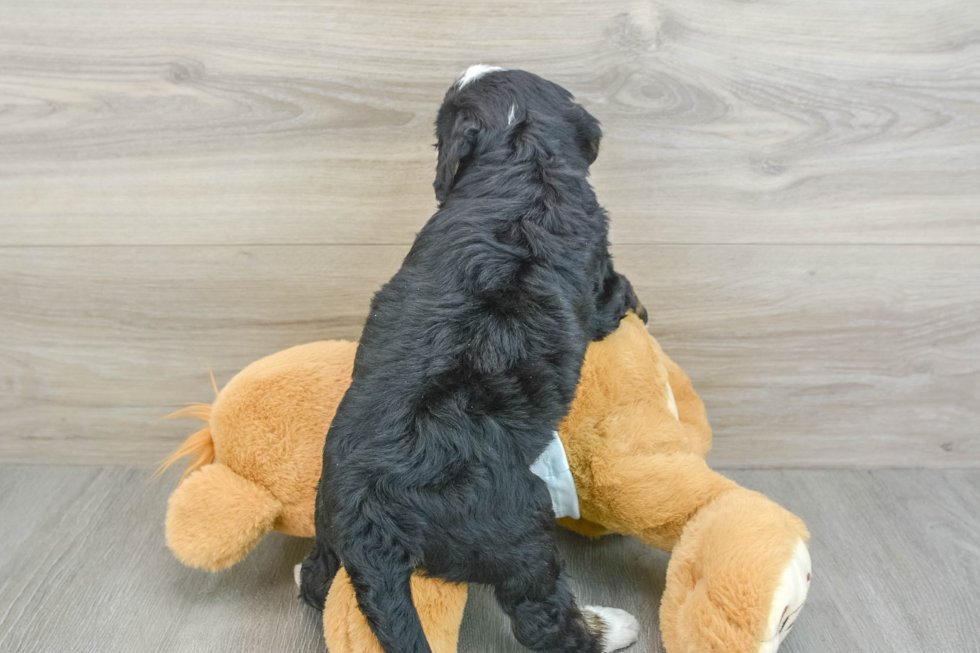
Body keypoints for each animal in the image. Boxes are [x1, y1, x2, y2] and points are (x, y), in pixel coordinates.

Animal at [302, 67, 648, 652]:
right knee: (540, 615)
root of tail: (365, 517)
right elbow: (613, 293)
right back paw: (611, 627)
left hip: (326, 521)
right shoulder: (595, 272)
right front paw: (636, 302)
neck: (521, 158)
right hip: (517, 524)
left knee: (315, 578)